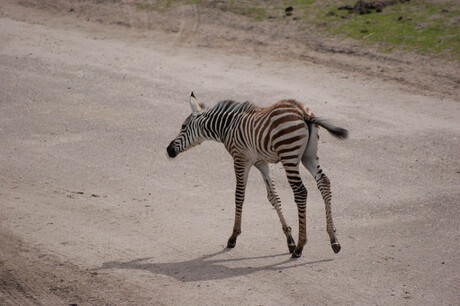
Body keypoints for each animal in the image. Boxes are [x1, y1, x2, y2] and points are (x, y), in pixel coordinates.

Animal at [167, 93, 346, 258]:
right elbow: (273, 197)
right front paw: (289, 238)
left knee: (301, 192)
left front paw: (233, 237)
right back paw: (333, 239)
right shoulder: (261, 162)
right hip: (308, 156)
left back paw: (300, 247)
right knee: (324, 183)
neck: (228, 126)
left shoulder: (241, 159)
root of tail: (302, 111)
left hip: (289, 154)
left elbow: (239, 195)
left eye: (183, 126)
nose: (168, 150)